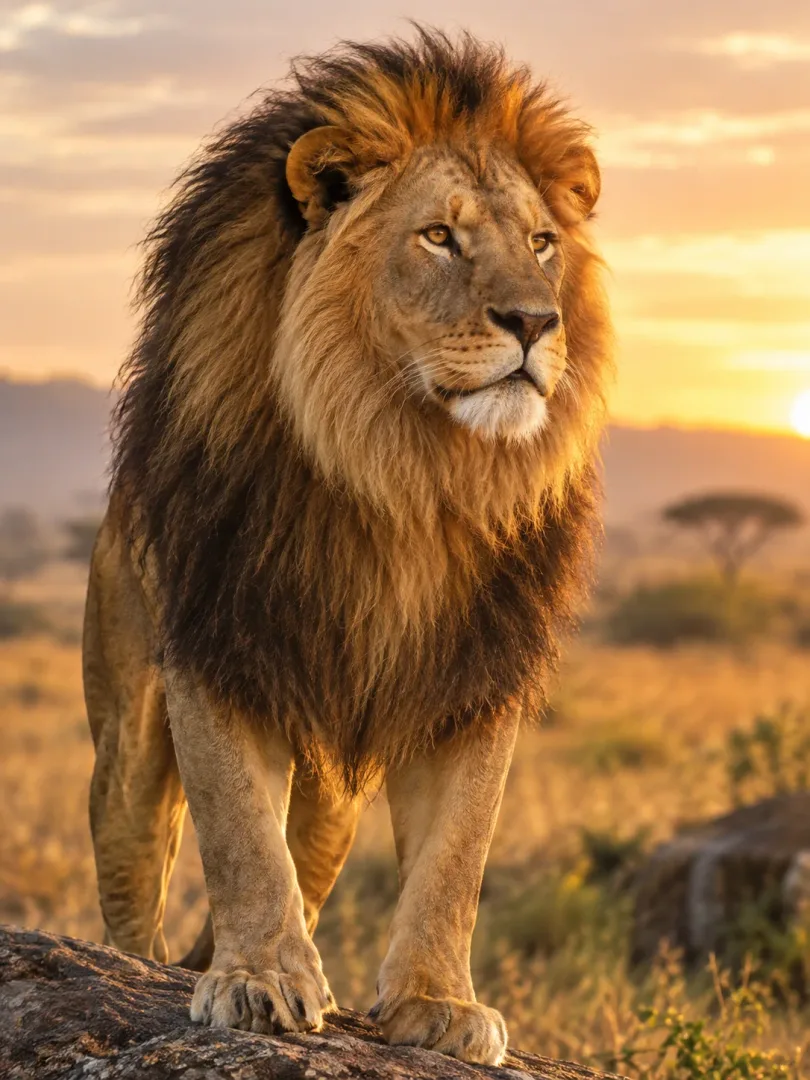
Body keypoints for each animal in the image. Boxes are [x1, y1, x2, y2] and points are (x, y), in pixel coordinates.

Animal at [83, 28, 612, 1065]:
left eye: (542, 244)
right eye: (439, 236)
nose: (536, 321)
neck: (407, 466)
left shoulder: (474, 669)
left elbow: (457, 857)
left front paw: (439, 1002)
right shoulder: (217, 636)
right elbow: (240, 835)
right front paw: (255, 981)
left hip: (332, 796)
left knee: (313, 853)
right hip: (125, 727)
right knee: (132, 871)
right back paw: (134, 968)